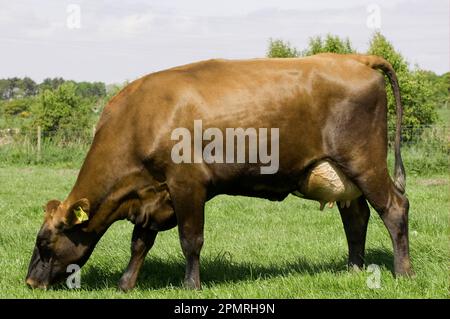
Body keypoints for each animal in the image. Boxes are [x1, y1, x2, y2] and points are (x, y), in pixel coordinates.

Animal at [24, 53, 412, 292]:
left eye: (44, 243)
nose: (29, 283)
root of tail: (355, 58)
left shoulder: (186, 183)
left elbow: (190, 240)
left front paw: (191, 285)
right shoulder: (153, 194)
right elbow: (140, 242)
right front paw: (126, 284)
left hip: (364, 161)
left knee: (394, 208)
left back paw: (403, 272)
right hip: (344, 175)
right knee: (357, 217)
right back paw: (354, 269)